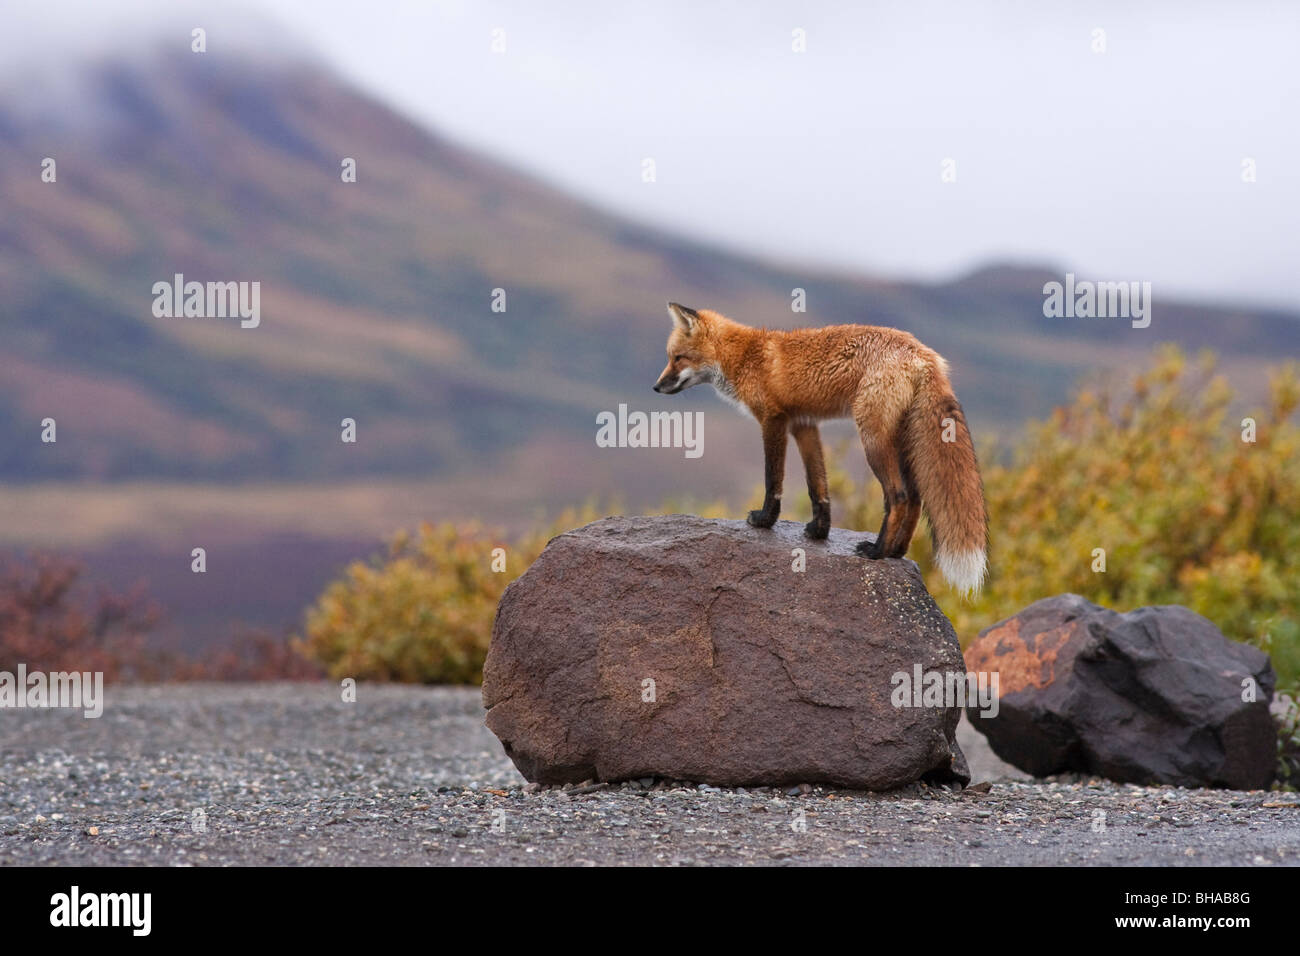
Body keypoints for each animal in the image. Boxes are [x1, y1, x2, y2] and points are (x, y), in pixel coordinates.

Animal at [655, 303, 987, 595]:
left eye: (678, 358)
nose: (656, 387)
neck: (746, 357)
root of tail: (924, 354)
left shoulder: (773, 420)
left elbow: (773, 479)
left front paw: (765, 520)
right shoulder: (804, 424)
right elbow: (818, 485)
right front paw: (819, 530)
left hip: (873, 439)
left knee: (900, 496)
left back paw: (877, 551)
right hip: (903, 440)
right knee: (917, 499)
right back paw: (897, 552)